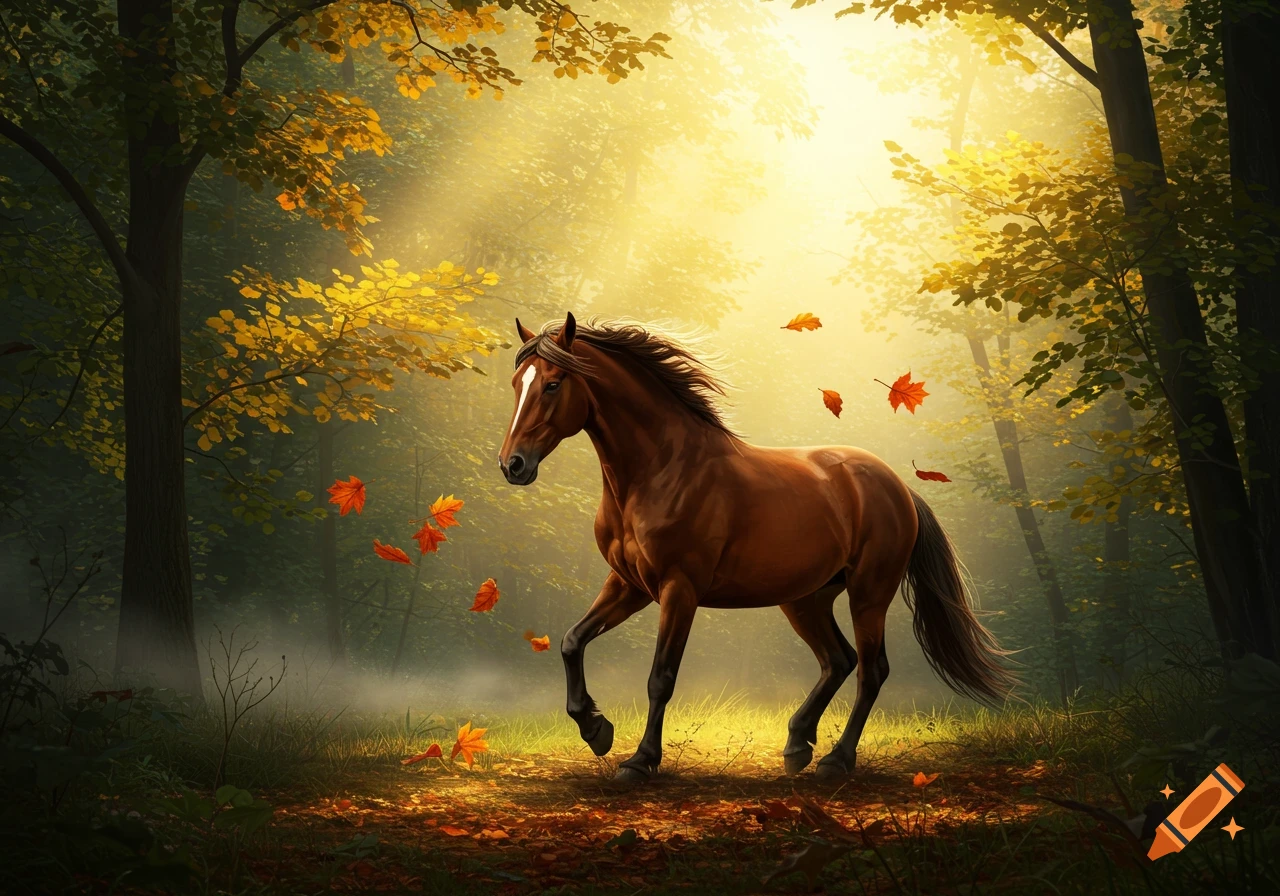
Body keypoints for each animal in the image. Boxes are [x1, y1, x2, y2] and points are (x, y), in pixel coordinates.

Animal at [497, 313, 1014, 783]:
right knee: (838, 660)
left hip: (869, 594)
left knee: (871, 670)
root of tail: (898, 486)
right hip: (805, 599)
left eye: (553, 384)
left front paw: (640, 761)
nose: (512, 465)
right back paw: (797, 745)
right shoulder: (629, 584)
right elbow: (572, 641)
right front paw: (596, 729)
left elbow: (661, 677)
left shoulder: (679, 590)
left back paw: (835, 761)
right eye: (516, 383)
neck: (661, 469)